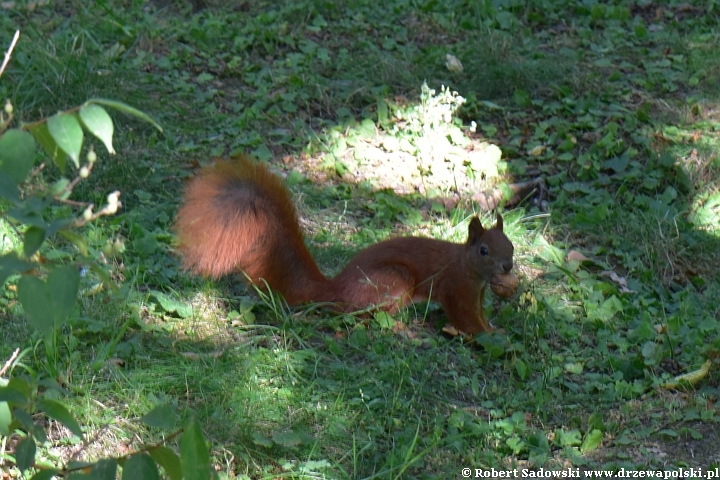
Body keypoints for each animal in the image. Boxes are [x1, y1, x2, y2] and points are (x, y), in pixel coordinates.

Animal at [174, 157, 516, 334]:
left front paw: (495, 328)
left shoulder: (476, 293)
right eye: (484, 250)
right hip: (393, 280)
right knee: (363, 316)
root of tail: (334, 289)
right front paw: (491, 336)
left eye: (510, 246)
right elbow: (466, 319)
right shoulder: (458, 288)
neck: (467, 265)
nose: (508, 266)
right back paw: (402, 329)